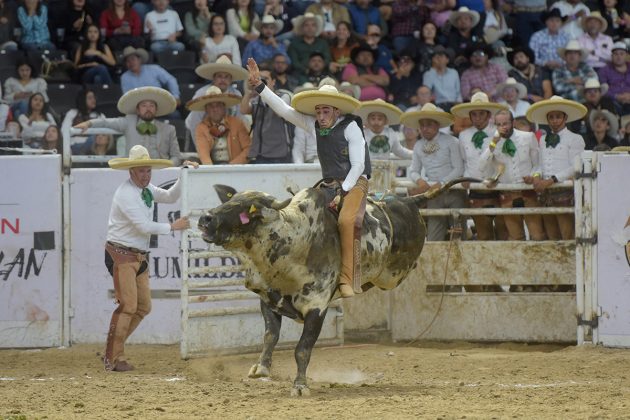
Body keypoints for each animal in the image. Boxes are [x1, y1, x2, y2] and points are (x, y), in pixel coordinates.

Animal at [198, 179, 474, 396]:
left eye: (245, 210)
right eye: (230, 200)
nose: (205, 218)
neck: (294, 240)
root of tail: (409, 201)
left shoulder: (317, 307)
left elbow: (302, 349)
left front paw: (300, 386)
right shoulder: (269, 297)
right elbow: (270, 335)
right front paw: (261, 368)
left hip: (393, 275)